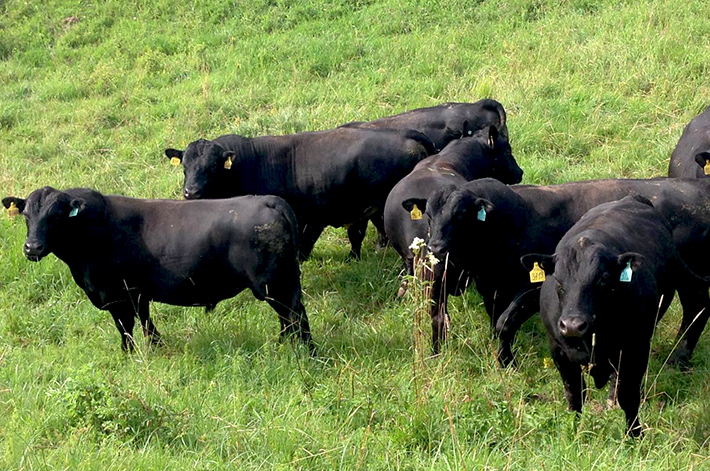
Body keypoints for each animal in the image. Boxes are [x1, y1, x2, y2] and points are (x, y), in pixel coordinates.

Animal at [2, 186, 312, 352]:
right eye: (26, 215)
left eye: (56, 216)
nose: (32, 247)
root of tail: (268, 199)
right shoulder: (138, 295)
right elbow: (145, 324)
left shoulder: (118, 296)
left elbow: (127, 329)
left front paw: (130, 356)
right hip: (282, 284)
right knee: (290, 320)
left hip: (275, 285)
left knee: (295, 317)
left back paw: (305, 353)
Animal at [420, 178, 710, 366]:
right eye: (429, 216)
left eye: (460, 215)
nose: (436, 247)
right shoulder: (493, 287)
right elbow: (496, 319)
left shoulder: (531, 288)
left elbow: (504, 322)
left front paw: (507, 362)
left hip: (689, 274)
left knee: (698, 305)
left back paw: (679, 357)